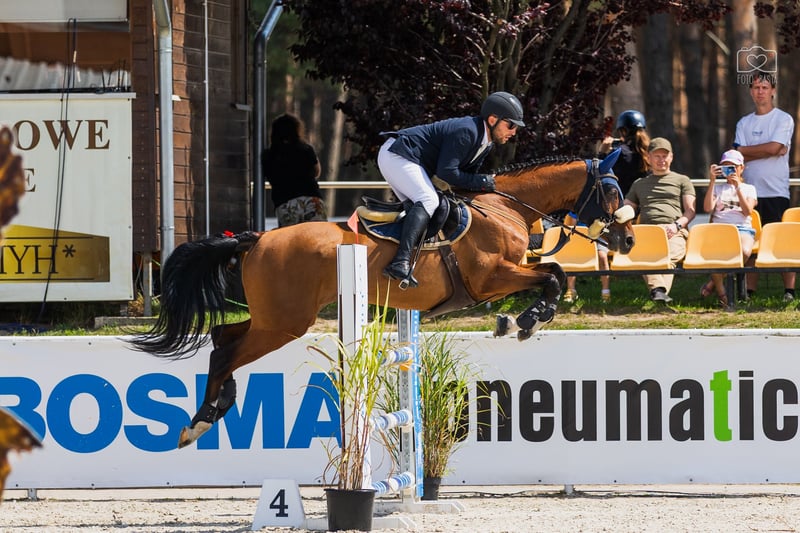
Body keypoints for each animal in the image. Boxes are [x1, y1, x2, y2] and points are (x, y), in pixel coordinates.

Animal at [130, 154, 636, 448]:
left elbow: (553, 274)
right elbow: (553, 276)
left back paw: (216, 408)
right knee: (226, 351)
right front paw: (524, 322)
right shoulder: (491, 278)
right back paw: (198, 423)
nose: (629, 240)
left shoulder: (501, 277)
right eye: (612, 190)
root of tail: (255, 239)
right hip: (284, 323)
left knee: (222, 338)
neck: (506, 207)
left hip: (272, 319)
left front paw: (517, 322)